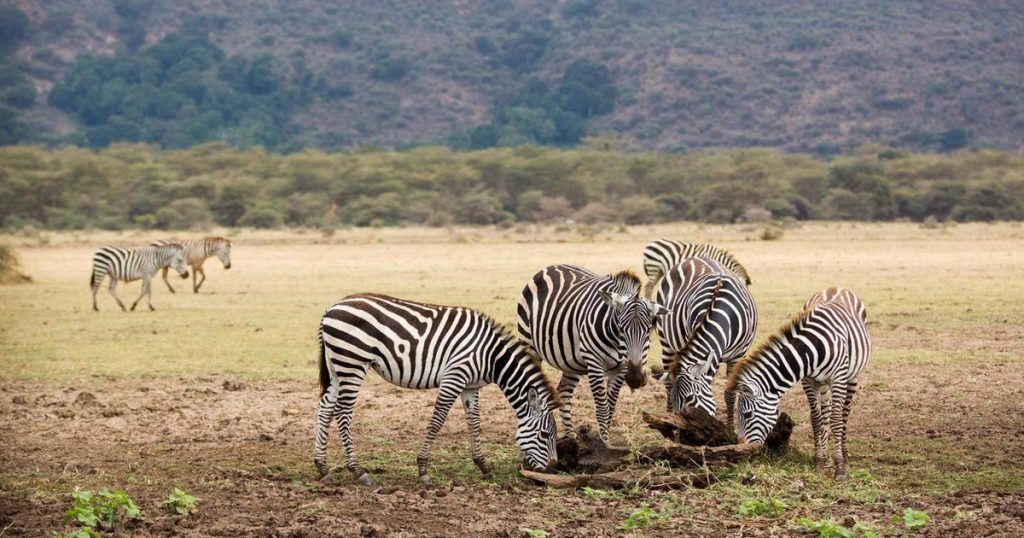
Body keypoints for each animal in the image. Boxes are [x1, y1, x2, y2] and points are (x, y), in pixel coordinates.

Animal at [314, 293, 559, 486]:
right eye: (545, 434)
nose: (552, 469)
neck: (491, 356)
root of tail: (330, 309)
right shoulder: (455, 376)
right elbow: (437, 421)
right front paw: (423, 470)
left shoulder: (470, 386)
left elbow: (474, 423)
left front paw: (483, 466)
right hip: (353, 363)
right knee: (343, 412)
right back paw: (358, 471)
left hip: (338, 367)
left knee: (325, 407)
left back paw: (322, 467)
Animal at [517, 265, 667, 442]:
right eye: (621, 328)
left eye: (649, 330)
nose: (635, 379)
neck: (615, 341)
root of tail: (551, 267)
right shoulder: (595, 363)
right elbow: (602, 409)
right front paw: (604, 444)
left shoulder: (621, 368)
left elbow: (610, 407)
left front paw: (605, 439)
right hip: (529, 344)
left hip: (571, 362)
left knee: (564, 391)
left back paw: (571, 436)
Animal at [657, 257, 757, 425]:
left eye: (690, 398)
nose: (680, 429)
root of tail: (694, 258)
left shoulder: (737, 357)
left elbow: (730, 394)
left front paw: (730, 427)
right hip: (666, 343)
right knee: (668, 383)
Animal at [726, 287, 870, 478]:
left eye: (748, 414)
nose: (741, 451)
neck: (813, 349)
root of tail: (836, 287)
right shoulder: (807, 380)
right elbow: (816, 419)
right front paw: (819, 461)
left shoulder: (838, 378)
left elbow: (837, 421)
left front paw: (839, 467)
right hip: (822, 383)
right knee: (826, 413)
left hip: (852, 376)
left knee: (844, 415)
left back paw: (845, 458)